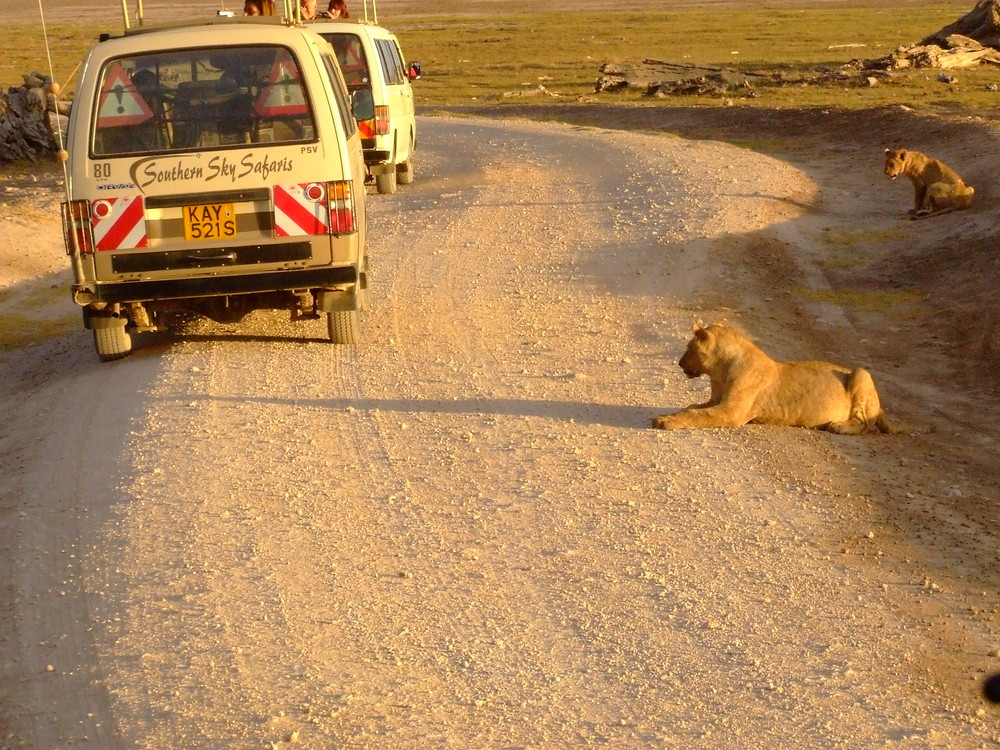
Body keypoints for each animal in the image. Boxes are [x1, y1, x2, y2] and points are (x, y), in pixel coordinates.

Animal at [652, 324, 904, 434]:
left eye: (689, 348)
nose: (679, 363)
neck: (719, 370)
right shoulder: (716, 401)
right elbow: (692, 407)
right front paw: (670, 415)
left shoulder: (731, 411)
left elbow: (697, 414)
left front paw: (665, 421)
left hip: (862, 373)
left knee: (864, 424)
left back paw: (837, 426)